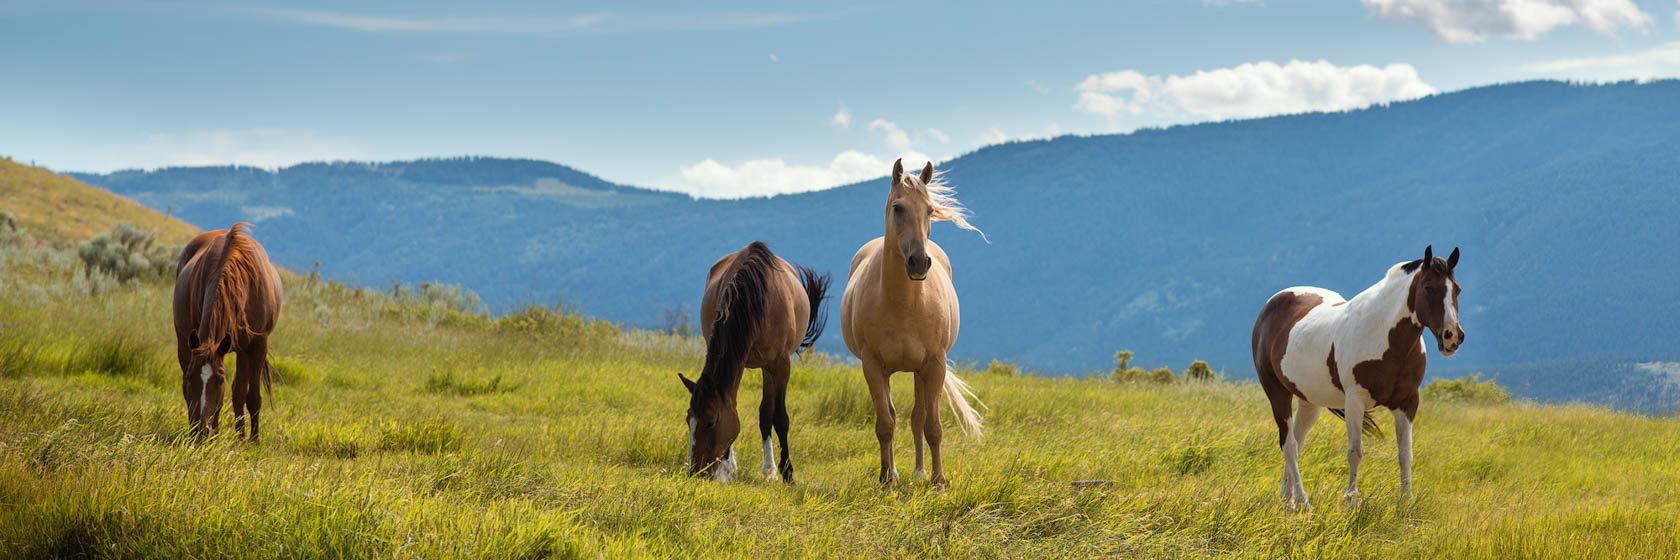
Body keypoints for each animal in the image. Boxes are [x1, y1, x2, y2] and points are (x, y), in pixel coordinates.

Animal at [172, 221, 283, 440]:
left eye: (220, 379)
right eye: (190, 377)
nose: (200, 430)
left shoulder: (256, 345)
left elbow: (251, 397)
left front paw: (253, 440)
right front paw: (212, 434)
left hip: (242, 349)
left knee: (239, 392)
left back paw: (241, 436)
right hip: (184, 342)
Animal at [678, 240, 829, 480]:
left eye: (711, 422)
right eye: (688, 420)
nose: (695, 471)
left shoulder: (779, 364)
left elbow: (779, 417)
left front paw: (787, 472)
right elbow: (733, 405)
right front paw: (726, 468)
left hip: (769, 367)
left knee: (767, 412)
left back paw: (769, 468)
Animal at [836, 157, 981, 484]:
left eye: (929, 209)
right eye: (898, 207)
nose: (919, 263)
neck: (904, 304)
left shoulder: (934, 364)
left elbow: (932, 426)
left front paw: (938, 481)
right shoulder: (872, 365)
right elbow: (885, 424)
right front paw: (887, 481)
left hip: (919, 370)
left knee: (918, 418)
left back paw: (919, 471)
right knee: (892, 415)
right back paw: (893, 472)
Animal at [1256, 243, 1464, 504]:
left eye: (1457, 290)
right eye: (1428, 288)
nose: (1452, 337)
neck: (1385, 337)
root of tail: (1272, 304)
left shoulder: (1407, 403)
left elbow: (1405, 454)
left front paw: (1406, 500)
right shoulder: (1355, 401)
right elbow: (1355, 452)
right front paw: (1351, 499)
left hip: (1308, 401)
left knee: (1297, 441)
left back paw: (1288, 500)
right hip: (1277, 393)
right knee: (1289, 444)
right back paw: (1302, 501)